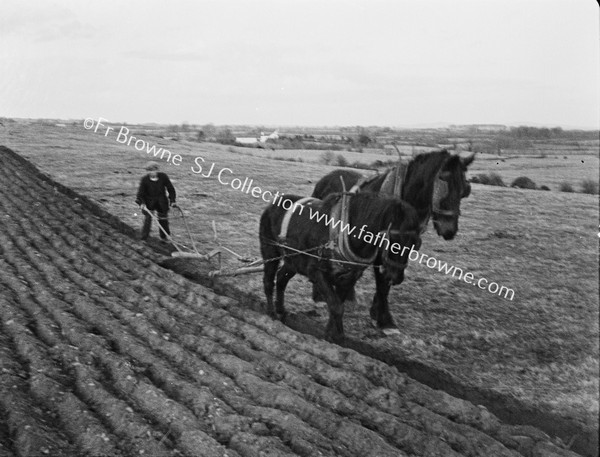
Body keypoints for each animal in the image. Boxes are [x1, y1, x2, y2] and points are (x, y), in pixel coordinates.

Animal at [258, 190, 422, 342]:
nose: (396, 277)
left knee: (281, 279)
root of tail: (272, 204)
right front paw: (335, 336)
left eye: (415, 245)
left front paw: (333, 334)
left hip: (293, 260)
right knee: (268, 281)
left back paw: (281, 310)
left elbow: (337, 305)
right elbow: (336, 306)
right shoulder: (317, 272)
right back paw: (272, 313)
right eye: (394, 242)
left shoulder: (348, 278)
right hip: (270, 252)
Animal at [312, 149, 476, 332]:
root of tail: (326, 178)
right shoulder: (380, 247)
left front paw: (377, 312)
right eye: (444, 187)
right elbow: (383, 282)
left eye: (464, 190)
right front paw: (384, 319)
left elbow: (388, 279)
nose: (449, 230)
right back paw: (319, 295)